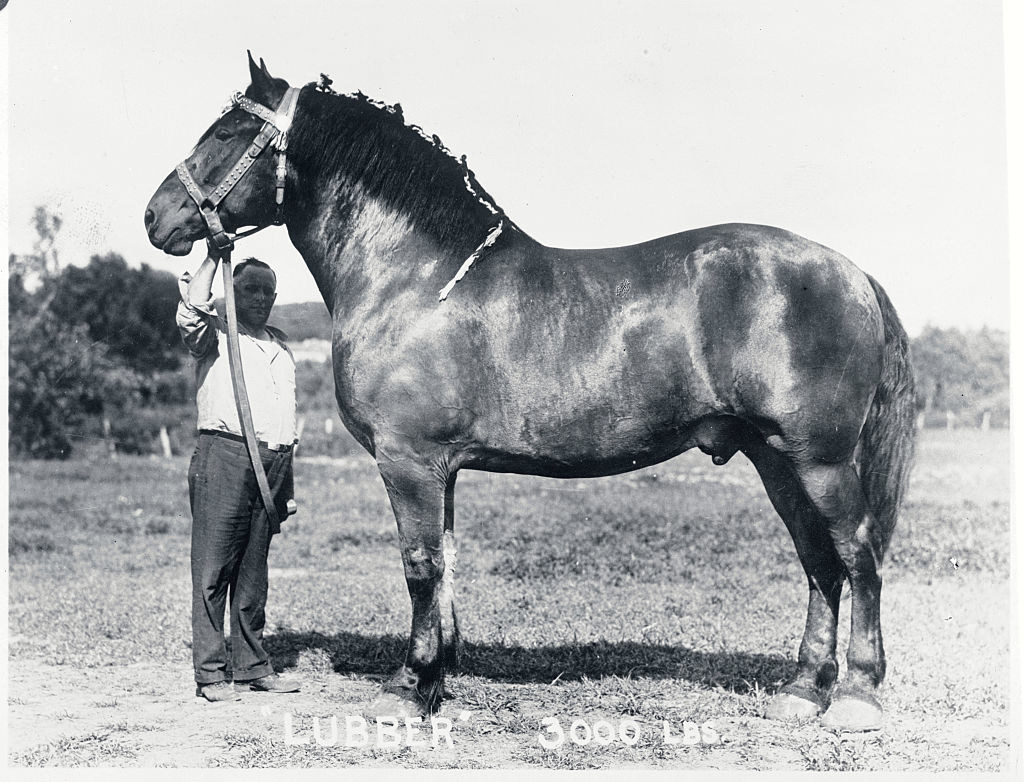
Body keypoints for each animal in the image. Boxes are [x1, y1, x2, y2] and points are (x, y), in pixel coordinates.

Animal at [146, 56, 921, 732]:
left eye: (225, 134)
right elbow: (445, 563)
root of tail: (851, 272)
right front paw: (433, 679)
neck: (415, 278)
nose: (156, 217)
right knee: (818, 563)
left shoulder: (408, 462)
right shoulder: (440, 469)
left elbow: (420, 566)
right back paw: (802, 691)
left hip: (819, 460)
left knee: (856, 555)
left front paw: (409, 689)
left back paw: (857, 698)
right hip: (774, 458)